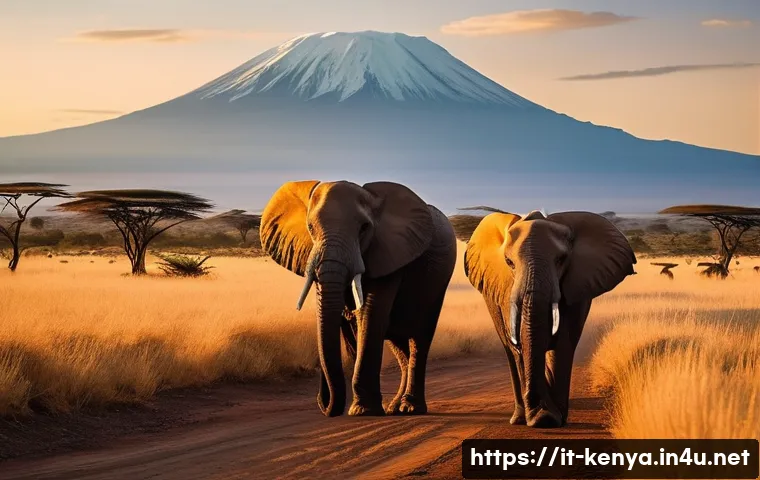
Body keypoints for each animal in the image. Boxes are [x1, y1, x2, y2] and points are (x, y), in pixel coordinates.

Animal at [260, 180, 457, 417]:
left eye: (364, 228)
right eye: (310, 228)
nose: (325, 404)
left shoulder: (388, 253)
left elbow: (370, 316)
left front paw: (363, 410)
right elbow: (353, 326)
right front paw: (365, 406)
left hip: (438, 284)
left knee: (420, 338)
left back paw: (410, 408)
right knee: (399, 345)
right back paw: (394, 407)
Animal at [464, 210, 636, 428]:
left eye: (561, 260)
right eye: (509, 262)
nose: (537, 409)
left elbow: (561, 342)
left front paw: (550, 418)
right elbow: (520, 344)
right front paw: (542, 416)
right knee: (509, 350)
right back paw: (519, 418)